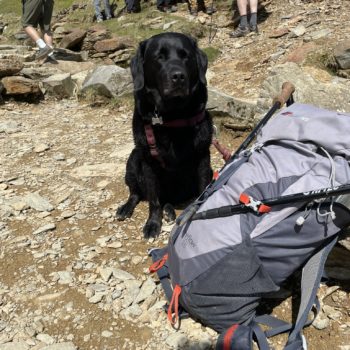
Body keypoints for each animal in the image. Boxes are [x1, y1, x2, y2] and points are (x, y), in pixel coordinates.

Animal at [116, 32, 212, 238]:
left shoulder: (203, 157)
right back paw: (126, 208)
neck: (172, 117)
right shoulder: (148, 162)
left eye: (185, 56)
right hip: (133, 160)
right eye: (159, 57)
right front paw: (153, 223)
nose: (178, 76)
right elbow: (153, 199)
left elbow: (202, 189)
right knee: (136, 193)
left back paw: (169, 210)